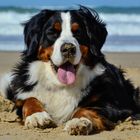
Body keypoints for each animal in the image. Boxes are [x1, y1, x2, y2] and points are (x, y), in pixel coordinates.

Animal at [0, 5, 139, 135]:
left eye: (78, 32)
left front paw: (79, 121)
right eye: (52, 32)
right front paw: (37, 116)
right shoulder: (24, 94)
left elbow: (85, 108)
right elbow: (29, 99)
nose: (68, 48)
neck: (61, 85)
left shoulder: (114, 105)